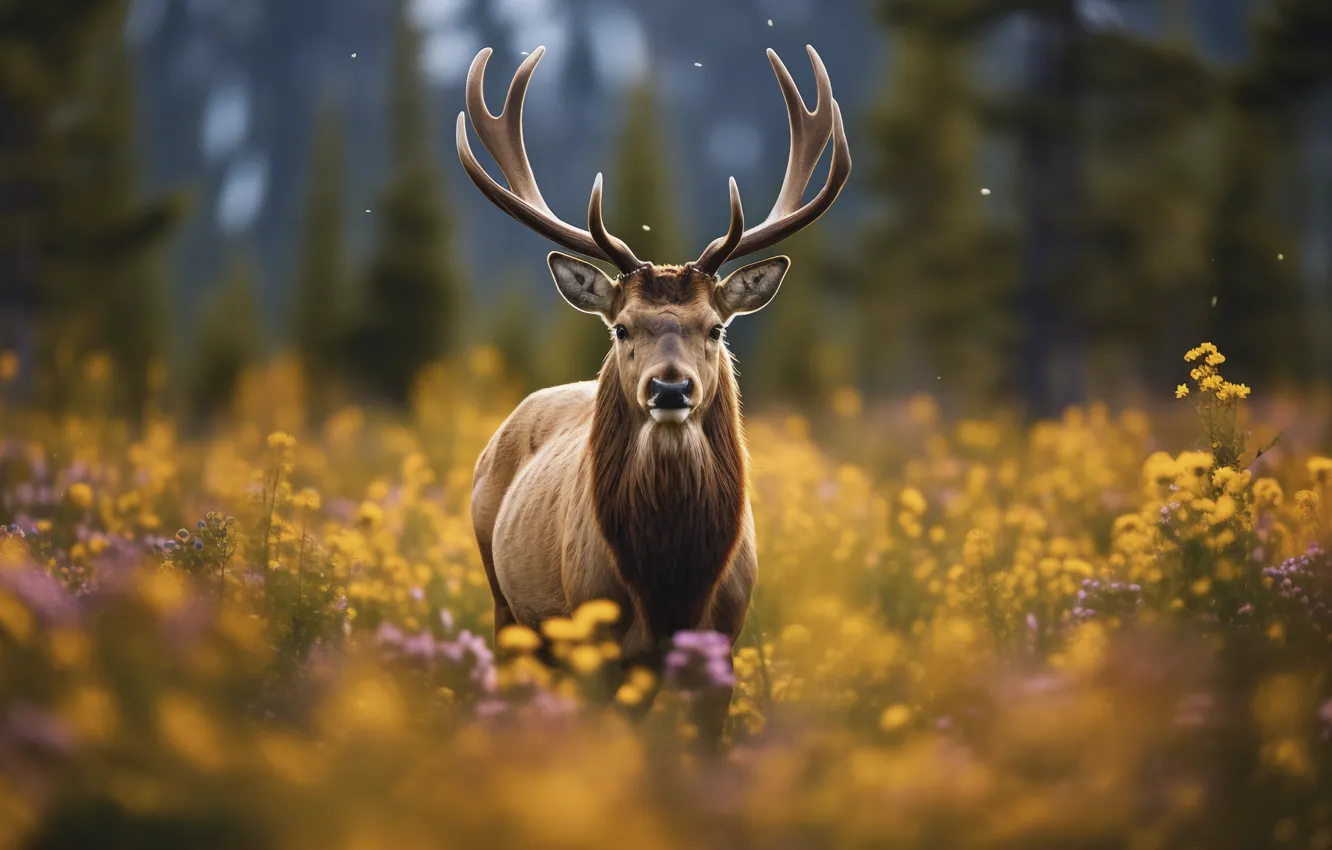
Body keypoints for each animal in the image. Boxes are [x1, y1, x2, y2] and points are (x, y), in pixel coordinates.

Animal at [461, 44, 850, 747]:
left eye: (716, 327)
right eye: (622, 327)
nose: (671, 386)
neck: (670, 587)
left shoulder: (722, 646)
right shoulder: (601, 648)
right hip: (506, 605)